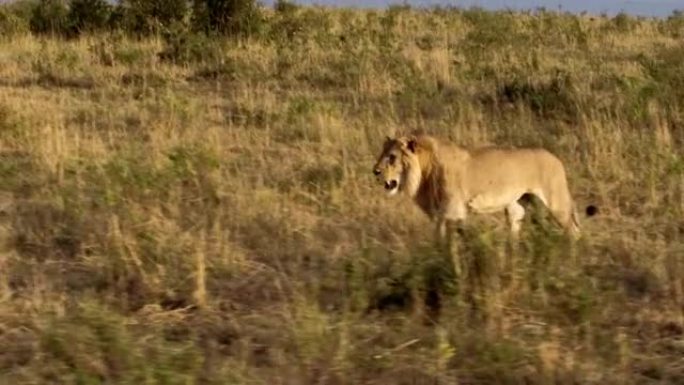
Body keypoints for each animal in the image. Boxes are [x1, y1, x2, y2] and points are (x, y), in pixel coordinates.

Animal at [372, 133, 596, 246]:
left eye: (392, 157)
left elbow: (448, 239)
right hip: (515, 205)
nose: (375, 171)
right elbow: (439, 237)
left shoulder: (453, 211)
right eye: (382, 153)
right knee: (517, 222)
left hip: (557, 203)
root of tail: (556, 159)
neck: (423, 172)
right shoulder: (440, 213)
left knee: (574, 231)